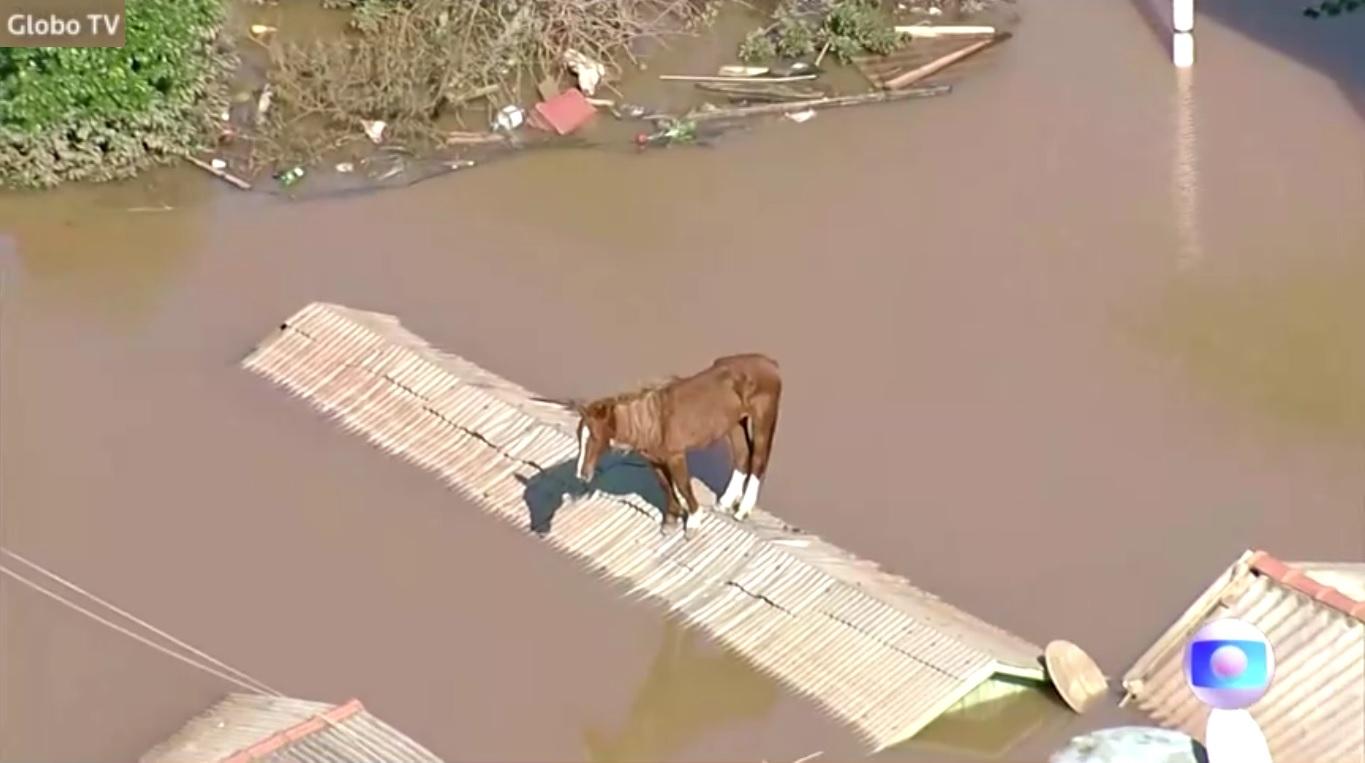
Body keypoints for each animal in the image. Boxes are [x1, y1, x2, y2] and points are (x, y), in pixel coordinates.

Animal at [567, 354, 780, 535]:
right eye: (579, 436)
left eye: (595, 437)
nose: (581, 474)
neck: (652, 421)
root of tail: (771, 364)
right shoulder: (654, 461)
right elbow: (666, 486)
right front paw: (671, 520)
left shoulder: (676, 456)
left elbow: (683, 485)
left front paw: (693, 521)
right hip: (735, 423)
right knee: (742, 456)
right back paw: (725, 502)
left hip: (763, 418)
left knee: (758, 460)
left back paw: (742, 510)